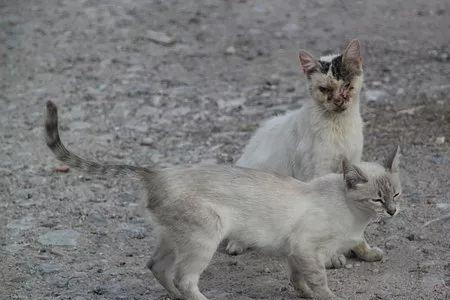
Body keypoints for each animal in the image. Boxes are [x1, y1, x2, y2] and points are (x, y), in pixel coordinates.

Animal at [44, 101, 402, 300]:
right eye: (376, 199)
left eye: (396, 194)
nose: (393, 211)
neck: (355, 219)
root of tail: (156, 172)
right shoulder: (306, 248)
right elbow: (319, 279)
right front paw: (325, 295)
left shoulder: (295, 252)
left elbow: (297, 278)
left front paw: (303, 295)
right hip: (205, 238)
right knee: (184, 279)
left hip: (174, 238)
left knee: (157, 267)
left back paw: (175, 298)